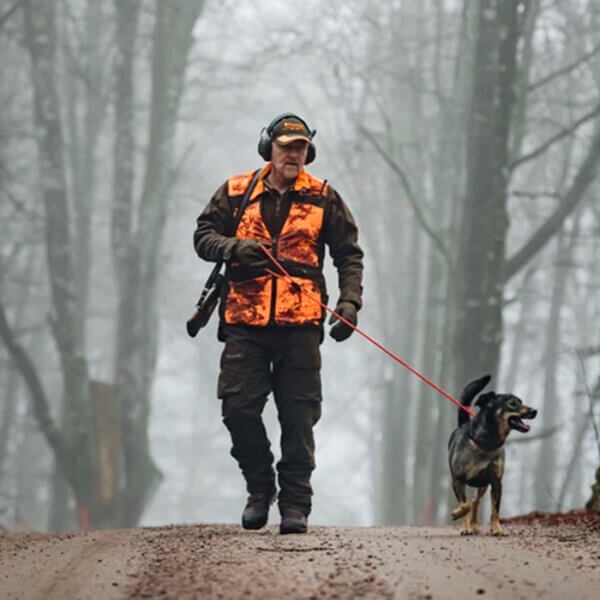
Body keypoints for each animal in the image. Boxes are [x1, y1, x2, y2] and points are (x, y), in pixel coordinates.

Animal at [448, 376, 536, 536]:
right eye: (512, 404)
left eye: (521, 401)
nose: (534, 411)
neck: (486, 444)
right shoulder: (457, 480)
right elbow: (464, 505)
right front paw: (460, 519)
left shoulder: (496, 482)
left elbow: (495, 508)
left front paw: (497, 528)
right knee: (471, 502)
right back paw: (469, 525)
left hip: (482, 485)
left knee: (475, 500)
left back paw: (474, 524)